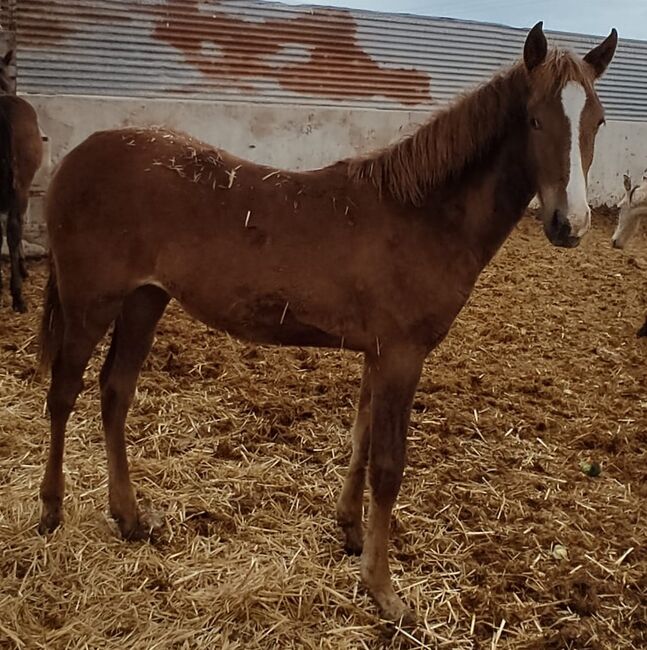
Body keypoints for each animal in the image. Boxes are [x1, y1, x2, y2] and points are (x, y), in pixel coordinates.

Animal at [36, 24, 616, 624]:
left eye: (597, 121)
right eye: (534, 119)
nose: (569, 224)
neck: (421, 216)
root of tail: (79, 156)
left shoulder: (378, 353)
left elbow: (361, 439)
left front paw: (352, 533)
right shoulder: (402, 356)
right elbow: (388, 465)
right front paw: (384, 590)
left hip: (144, 301)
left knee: (115, 392)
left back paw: (129, 516)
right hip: (90, 303)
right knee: (63, 392)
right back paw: (52, 510)